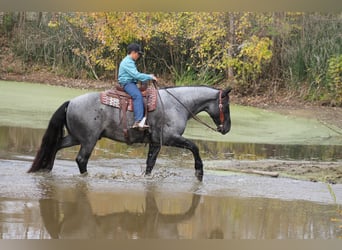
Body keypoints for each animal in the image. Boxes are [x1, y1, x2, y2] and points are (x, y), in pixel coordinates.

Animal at [27, 85, 232, 181]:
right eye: (227, 105)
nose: (227, 128)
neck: (177, 104)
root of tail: (71, 102)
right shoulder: (170, 138)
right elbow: (194, 146)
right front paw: (199, 172)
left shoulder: (155, 143)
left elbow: (150, 164)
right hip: (88, 140)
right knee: (81, 159)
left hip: (76, 137)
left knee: (55, 147)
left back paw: (46, 169)